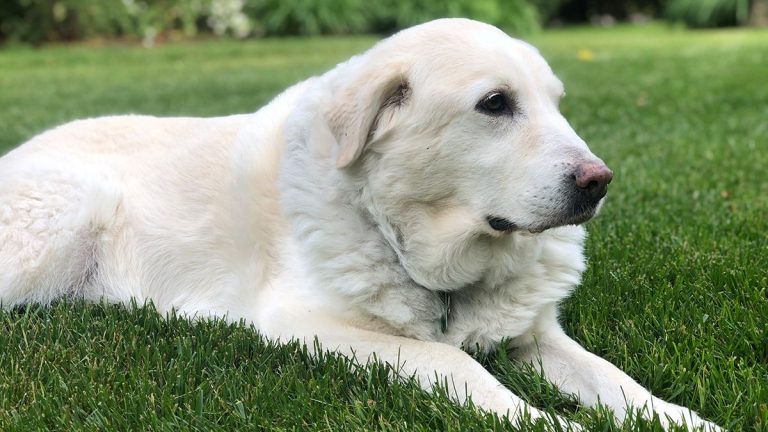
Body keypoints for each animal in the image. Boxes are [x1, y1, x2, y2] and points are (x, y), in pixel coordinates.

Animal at [0, 18, 720, 430]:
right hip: (67, 213)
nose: (599, 182)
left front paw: (686, 420)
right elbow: (461, 366)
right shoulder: (314, 326)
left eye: (557, 104)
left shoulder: (537, 339)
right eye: (495, 103)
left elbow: (620, 384)